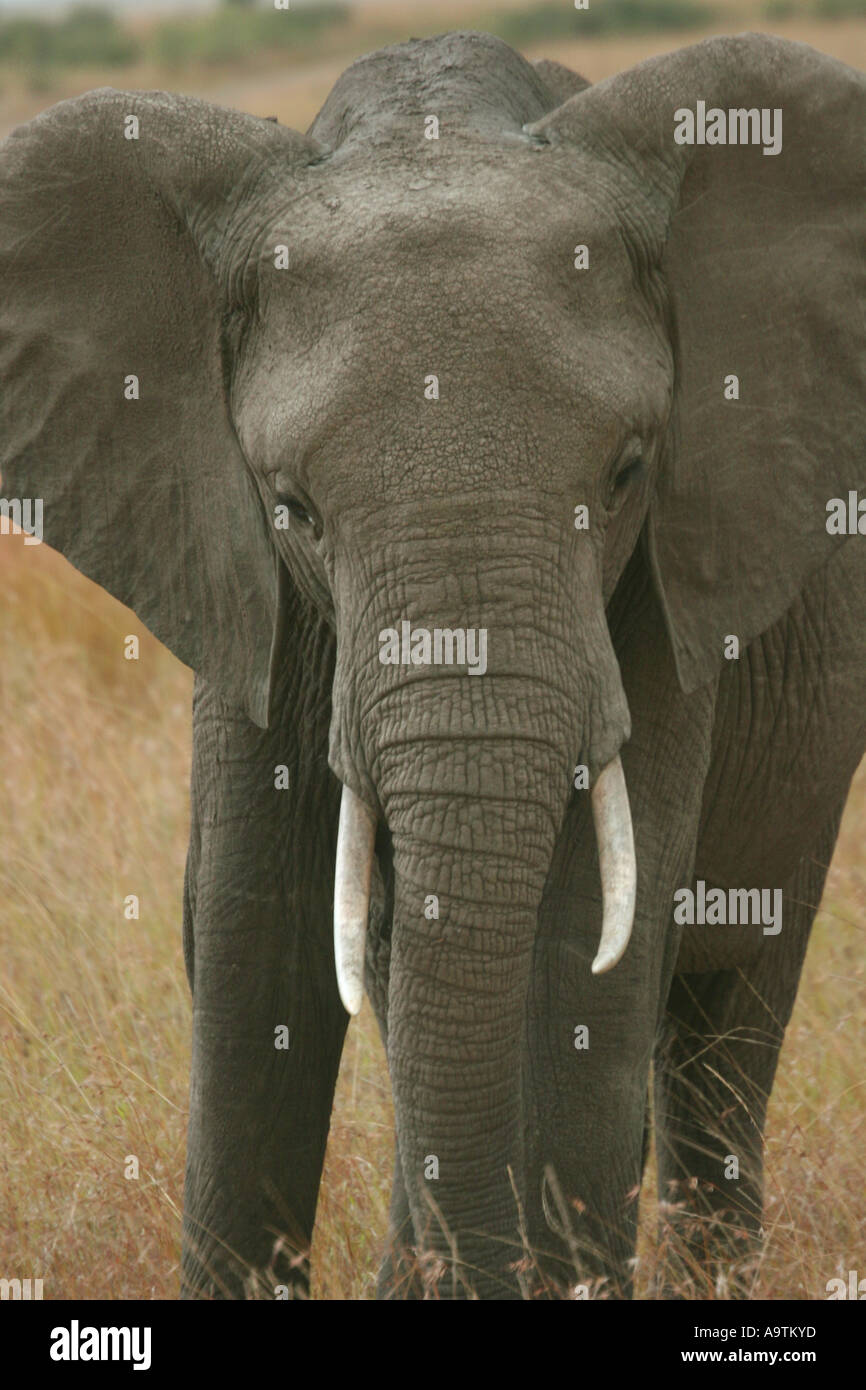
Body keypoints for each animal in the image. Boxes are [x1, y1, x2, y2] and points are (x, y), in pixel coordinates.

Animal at [1, 28, 864, 1300]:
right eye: (292, 507)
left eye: (625, 473)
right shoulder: (245, 593)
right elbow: (256, 935)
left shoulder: (656, 601)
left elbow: (576, 949)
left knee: (726, 1009)